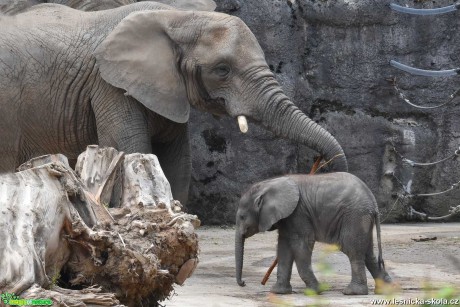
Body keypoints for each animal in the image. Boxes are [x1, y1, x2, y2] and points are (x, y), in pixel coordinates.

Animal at [0, 2, 346, 206]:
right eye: (222, 70)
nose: (319, 165)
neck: (176, 17)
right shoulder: (108, 85)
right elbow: (130, 148)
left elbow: (177, 159)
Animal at [237, 173, 392, 296]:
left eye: (242, 217)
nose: (243, 283)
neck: (268, 184)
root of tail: (374, 202)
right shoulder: (288, 217)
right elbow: (283, 247)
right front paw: (278, 292)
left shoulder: (298, 212)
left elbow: (302, 244)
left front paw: (315, 292)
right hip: (362, 219)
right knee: (368, 253)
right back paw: (385, 290)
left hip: (355, 216)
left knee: (352, 250)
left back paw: (352, 292)